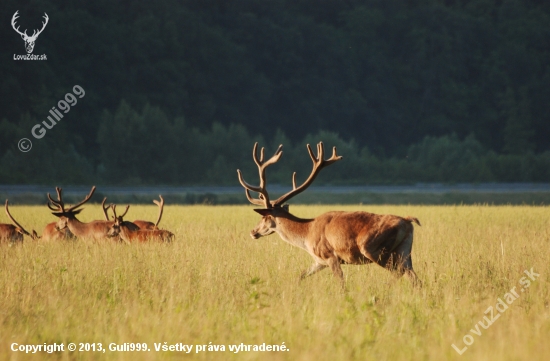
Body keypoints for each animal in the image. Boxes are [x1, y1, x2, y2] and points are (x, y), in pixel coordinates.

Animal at [237, 142, 422, 288]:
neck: (306, 235)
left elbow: (341, 282)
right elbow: (300, 275)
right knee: (414, 278)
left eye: (264, 217)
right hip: (405, 250)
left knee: (398, 273)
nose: (253, 232)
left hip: (374, 248)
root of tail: (407, 222)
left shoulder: (331, 255)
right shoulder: (319, 261)